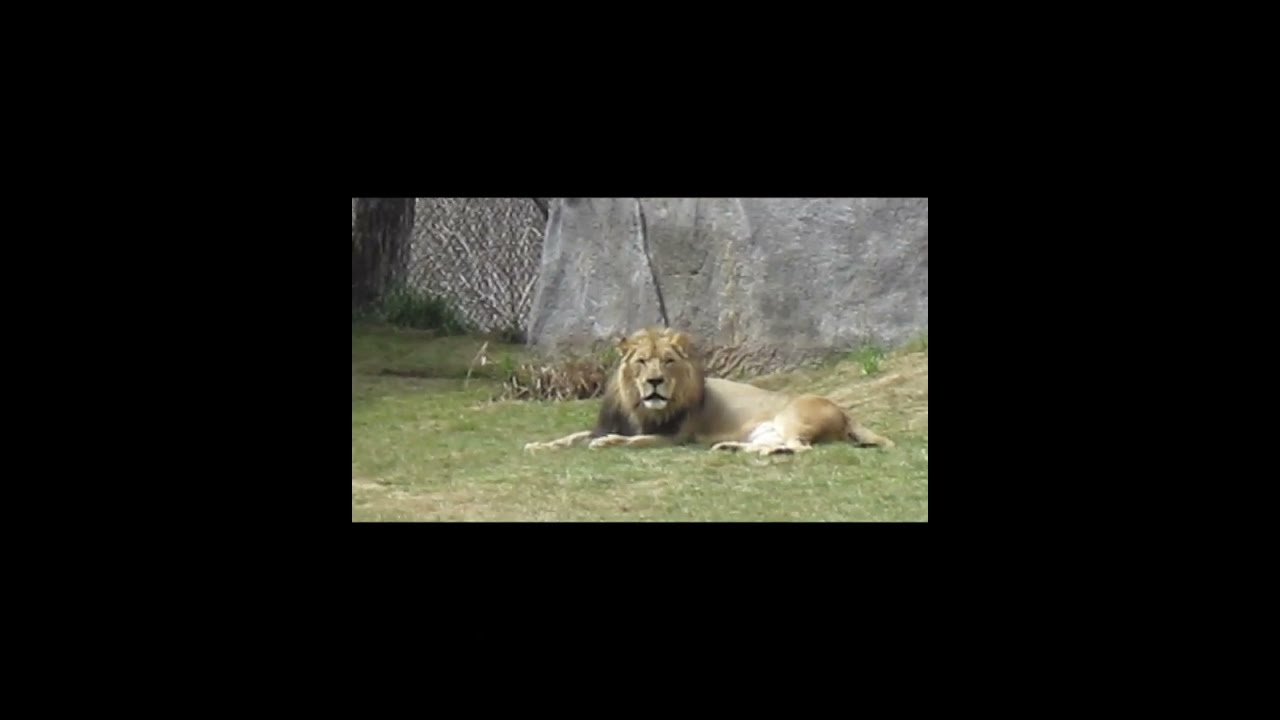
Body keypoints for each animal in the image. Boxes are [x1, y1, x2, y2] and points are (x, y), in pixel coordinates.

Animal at [523, 327, 893, 456]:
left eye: (668, 361)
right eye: (642, 362)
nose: (654, 381)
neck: (638, 406)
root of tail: (845, 410)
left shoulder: (675, 437)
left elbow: (635, 440)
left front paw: (607, 444)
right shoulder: (605, 424)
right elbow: (570, 437)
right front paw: (538, 445)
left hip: (790, 418)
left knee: (800, 448)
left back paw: (768, 453)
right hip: (762, 431)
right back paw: (732, 447)